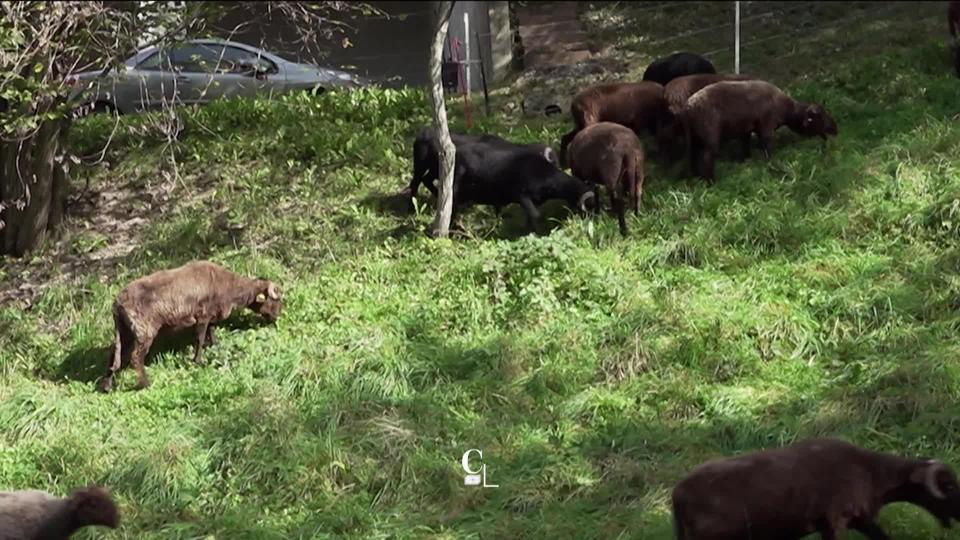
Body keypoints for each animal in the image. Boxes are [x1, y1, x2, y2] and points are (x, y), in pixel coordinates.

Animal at [99, 260, 284, 390]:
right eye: (274, 300)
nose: (276, 318)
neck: (228, 287)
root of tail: (117, 303)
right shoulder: (202, 315)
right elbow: (200, 338)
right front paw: (198, 361)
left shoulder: (210, 315)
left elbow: (211, 333)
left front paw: (214, 347)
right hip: (144, 330)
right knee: (136, 358)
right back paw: (145, 383)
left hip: (125, 331)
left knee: (113, 355)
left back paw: (107, 386)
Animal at [672, 438, 960, 540]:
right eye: (947, 485)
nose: (959, 515)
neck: (873, 473)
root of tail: (677, 494)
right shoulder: (834, 521)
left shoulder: (860, 520)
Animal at [684, 78, 832, 184]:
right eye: (820, 117)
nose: (834, 131)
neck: (787, 110)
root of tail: (690, 106)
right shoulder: (766, 127)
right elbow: (767, 147)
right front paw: (769, 164)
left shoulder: (746, 129)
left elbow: (745, 145)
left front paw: (746, 160)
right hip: (710, 136)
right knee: (707, 157)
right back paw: (711, 182)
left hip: (694, 136)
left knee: (692, 154)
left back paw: (695, 176)